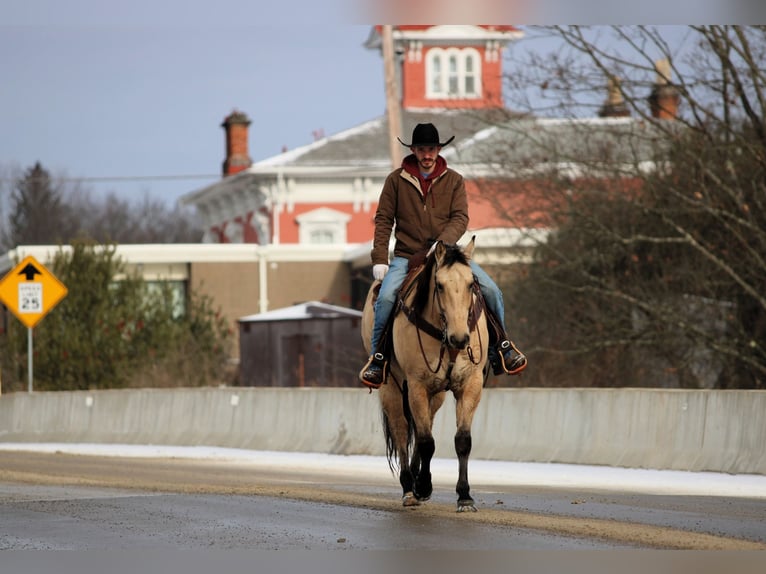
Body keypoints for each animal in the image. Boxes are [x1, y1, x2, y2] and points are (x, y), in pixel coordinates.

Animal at [361, 237, 489, 512]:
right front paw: (422, 485)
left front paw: (464, 496)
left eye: (471, 283)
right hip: (392, 387)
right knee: (401, 430)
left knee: (424, 425)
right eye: (439, 285)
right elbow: (426, 442)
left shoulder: (470, 384)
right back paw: (410, 488)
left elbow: (462, 440)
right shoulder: (417, 385)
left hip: (436, 394)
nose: (460, 339)